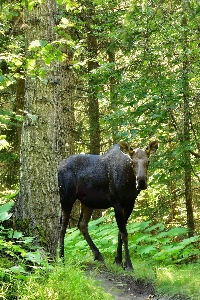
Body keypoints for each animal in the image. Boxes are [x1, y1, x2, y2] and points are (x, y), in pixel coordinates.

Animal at [57, 141, 158, 270]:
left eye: (148, 161)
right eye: (132, 162)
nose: (141, 182)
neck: (129, 183)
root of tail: (59, 166)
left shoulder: (130, 204)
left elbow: (120, 232)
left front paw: (118, 260)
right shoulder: (117, 203)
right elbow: (124, 233)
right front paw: (128, 264)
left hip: (87, 202)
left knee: (82, 224)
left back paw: (98, 255)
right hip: (66, 197)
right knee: (62, 227)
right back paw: (61, 258)